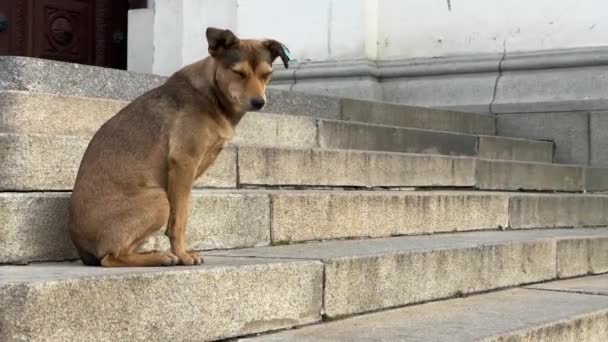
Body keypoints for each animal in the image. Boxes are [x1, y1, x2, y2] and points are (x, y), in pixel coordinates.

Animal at [67, 27, 290, 268]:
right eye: (238, 73)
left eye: (267, 74)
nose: (259, 103)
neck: (211, 92)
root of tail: (81, 247)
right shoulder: (184, 163)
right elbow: (179, 221)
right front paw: (183, 254)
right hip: (158, 199)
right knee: (110, 257)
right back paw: (162, 257)